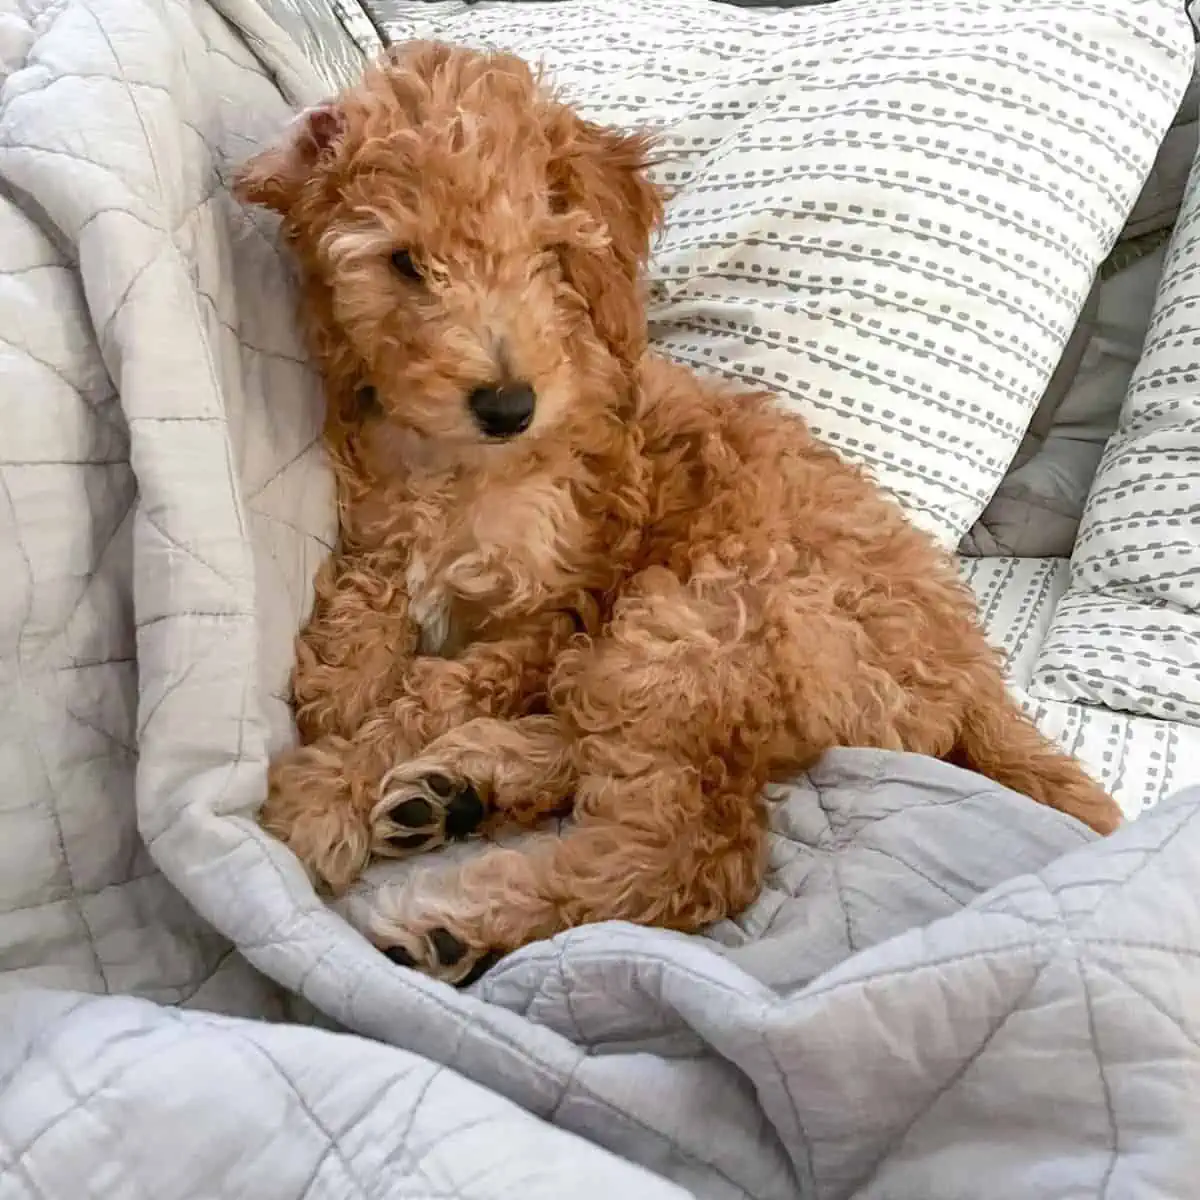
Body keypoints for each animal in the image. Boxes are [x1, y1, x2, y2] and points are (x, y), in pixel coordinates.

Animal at [238, 39, 1118, 984]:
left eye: (547, 253)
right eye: (404, 263)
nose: (509, 403)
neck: (471, 468)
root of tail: (973, 671)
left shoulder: (560, 606)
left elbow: (433, 693)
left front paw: (326, 789)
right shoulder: (389, 531)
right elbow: (367, 615)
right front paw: (344, 692)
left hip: (693, 623)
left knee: (693, 845)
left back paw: (464, 915)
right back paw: (463, 788)